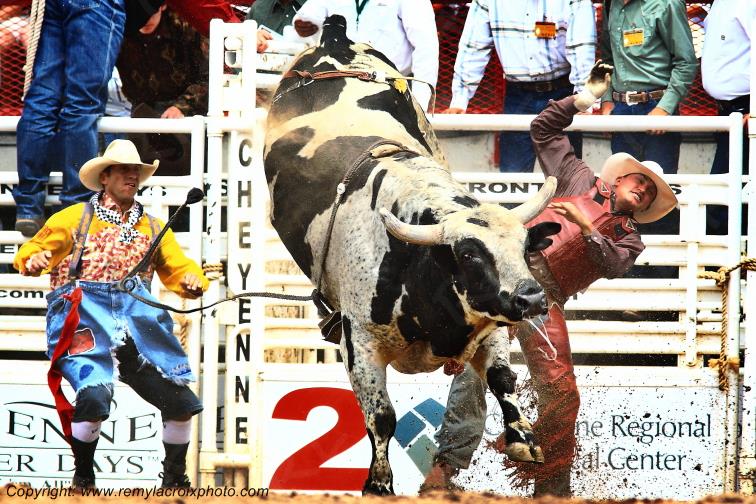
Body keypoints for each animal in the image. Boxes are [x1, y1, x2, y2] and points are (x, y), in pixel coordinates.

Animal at [263, 15, 561, 495]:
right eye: (470, 255)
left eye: (523, 247)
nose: (531, 298)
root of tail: (334, 38)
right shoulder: (359, 345)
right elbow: (382, 417)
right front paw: (379, 484)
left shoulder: (491, 321)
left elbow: (501, 378)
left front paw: (523, 441)